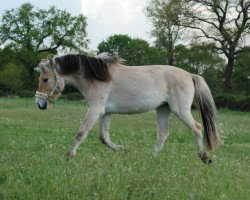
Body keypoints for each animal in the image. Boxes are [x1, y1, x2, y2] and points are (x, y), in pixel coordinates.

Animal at [34, 53, 220, 164]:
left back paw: (204, 157)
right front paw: (123, 150)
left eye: (45, 79)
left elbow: (81, 132)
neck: (96, 77)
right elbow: (104, 137)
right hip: (163, 110)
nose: (39, 104)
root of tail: (189, 75)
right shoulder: (106, 113)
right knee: (162, 134)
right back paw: (150, 157)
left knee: (197, 128)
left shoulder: (95, 110)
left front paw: (69, 155)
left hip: (180, 111)